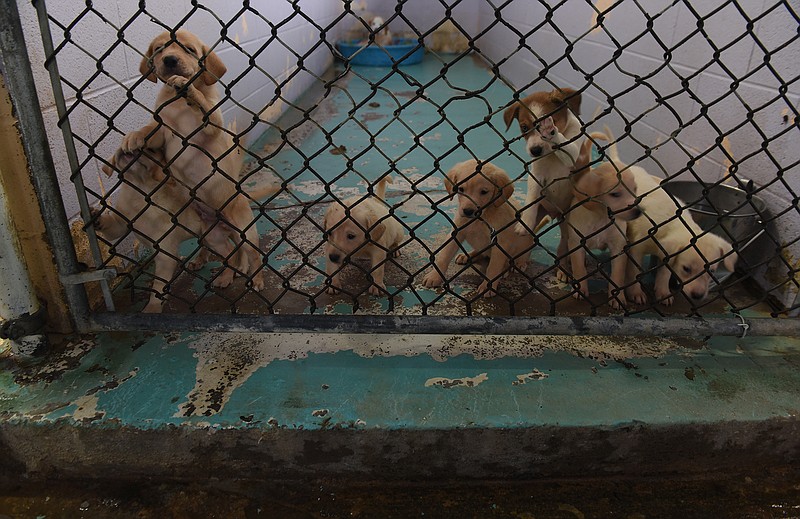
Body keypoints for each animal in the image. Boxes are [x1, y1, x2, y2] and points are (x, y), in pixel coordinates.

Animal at [94, 146, 238, 312]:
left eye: (151, 150)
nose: (128, 149)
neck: (140, 193)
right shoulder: (120, 223)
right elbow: (111, 226)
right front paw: (95, 218)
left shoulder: (165, 253)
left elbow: (159, 284)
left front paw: (153, 308)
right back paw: (200, 261)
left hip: (214, 237)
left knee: (231, 252)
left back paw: (227, 276)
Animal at [122, 29, 264, 292]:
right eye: (159, 49)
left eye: (189, 49)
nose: (169, 60)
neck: (177, 102)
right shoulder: (163, 131)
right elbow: (150, 128)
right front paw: (134, 136)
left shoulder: (211, 126)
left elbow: (204, 107)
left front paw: (189, 89)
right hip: (210, 235)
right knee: (230, 254)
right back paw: (225, 274)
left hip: (244, 231)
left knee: (253, 254)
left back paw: (256, 279)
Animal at [422, 158, 536, 298]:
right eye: (461, 189)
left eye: (484, 192)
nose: (468, 211)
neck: (480, 219)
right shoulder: (456, 232)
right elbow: (444, 255)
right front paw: (434, 276)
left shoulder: (499, 243)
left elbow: (493, 267)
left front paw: (488, 287)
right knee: (481, 252)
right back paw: (467, 256)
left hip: (525, 242)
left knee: (522, 256)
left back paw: (517, 264)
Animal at [564, 134, 644, 308]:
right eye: (615, 194)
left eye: (634, 190)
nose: (638, 211)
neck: (601, 217)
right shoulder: (577, 242)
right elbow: (579, 268)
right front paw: (580, 289)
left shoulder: (619, 247)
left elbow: (617, 274)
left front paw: (617, 297)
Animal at [624, 168, 736, 304]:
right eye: (686, 269)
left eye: (712, 272)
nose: (698, 296)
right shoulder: (637, 249)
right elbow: (635, 272)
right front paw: (635, 292)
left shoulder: (667, 256)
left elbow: (665, 273)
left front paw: (663, 292)